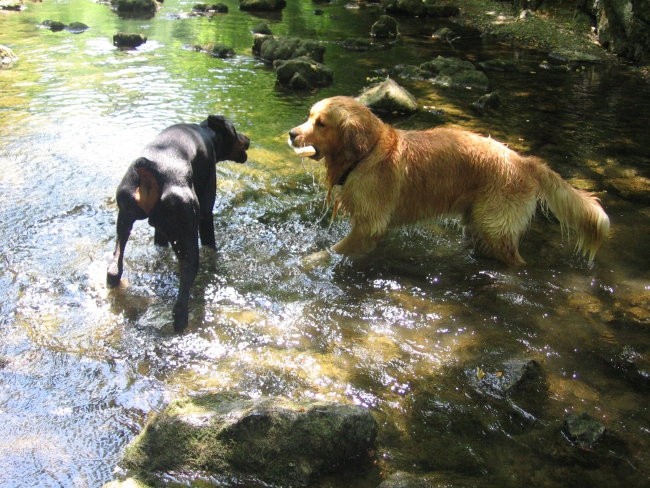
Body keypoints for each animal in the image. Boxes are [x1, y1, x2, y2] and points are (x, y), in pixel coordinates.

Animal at [106, 115, 248, 332]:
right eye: (235, 131)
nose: (248, 139)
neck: (207, 133)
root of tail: (151, 169)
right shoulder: (206, 212)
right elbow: (211, 244)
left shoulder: (160, 228)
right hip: (187, 232)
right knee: (183, 294)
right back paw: (182, 322)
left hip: (125, 217)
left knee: (115, 265)